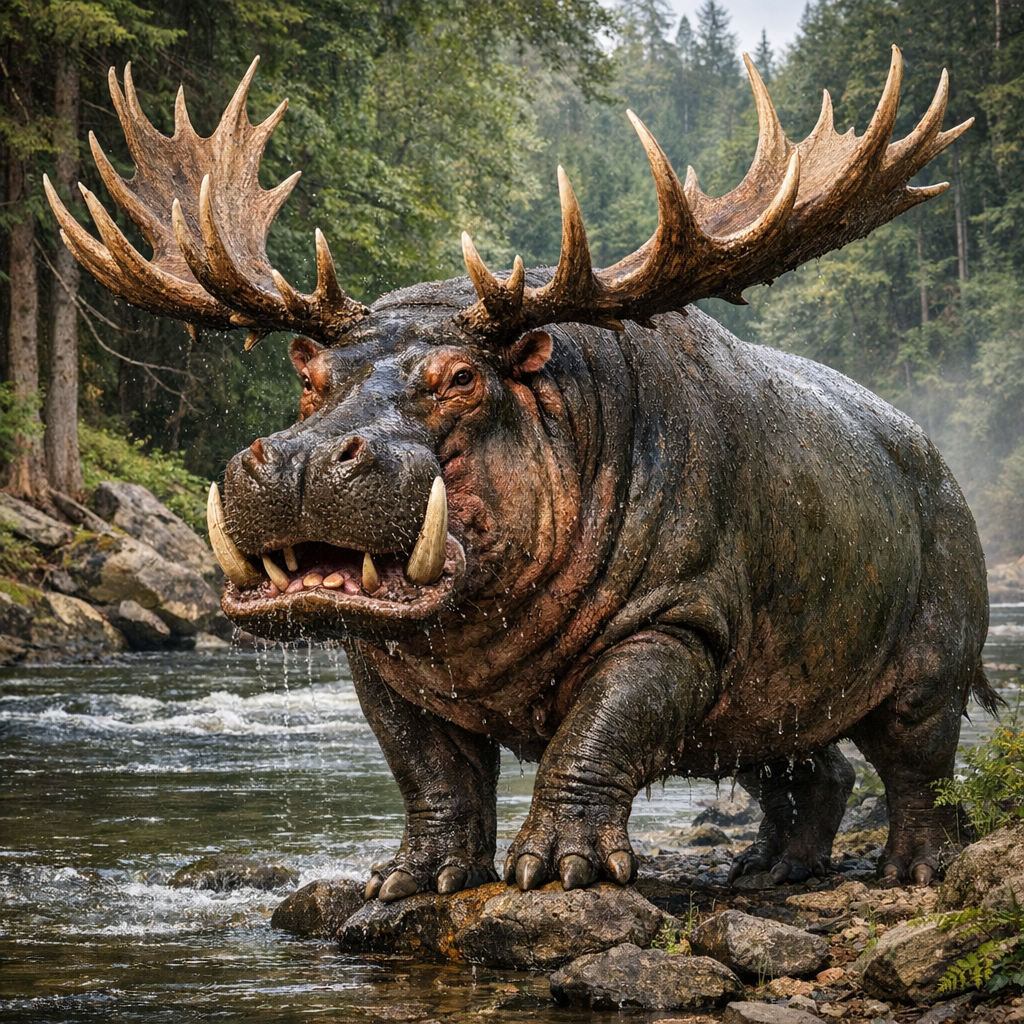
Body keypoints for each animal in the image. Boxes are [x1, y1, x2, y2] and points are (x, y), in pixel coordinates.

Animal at [48, 47, 998, 902]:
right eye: (310, 374)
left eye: (463, 378)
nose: (303, 459)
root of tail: (942, 464)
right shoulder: (379, 662)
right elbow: (429, 773)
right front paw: (411, 877)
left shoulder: (679, 622)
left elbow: (595, 736)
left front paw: (560, 866)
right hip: (772, 695)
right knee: (811, 767)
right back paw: (769, 868)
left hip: (934, 660)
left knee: (918, 765)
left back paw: (915, 869)